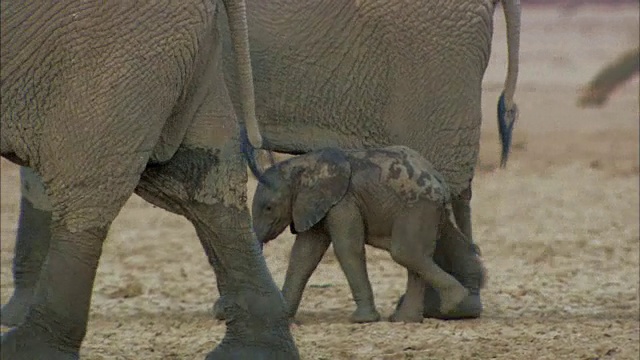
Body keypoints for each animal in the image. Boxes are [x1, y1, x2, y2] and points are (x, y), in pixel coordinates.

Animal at [252, 146, 482, 324]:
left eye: (269, 208)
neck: (302, 166)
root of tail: (441, 184)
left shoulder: (342, 202)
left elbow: (346, 248)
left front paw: (363, 320)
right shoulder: (314, 206)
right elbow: (304, 255)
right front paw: (285, 319)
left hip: (418, 207)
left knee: (406, 253)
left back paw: (453, 303)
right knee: (416, 257)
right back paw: (405, 320)